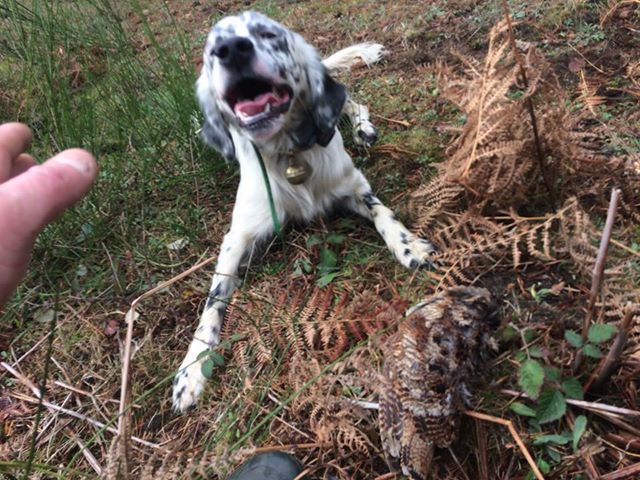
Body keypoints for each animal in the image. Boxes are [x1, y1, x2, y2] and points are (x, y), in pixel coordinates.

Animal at [172, 11, 438, 410]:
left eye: (268, 34)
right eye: (211, 47)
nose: (230, 48)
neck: (289, 154)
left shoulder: (354, 187)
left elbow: (383, 214)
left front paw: (410, 246)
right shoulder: (238, 237)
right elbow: (212, 302)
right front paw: (191, 369)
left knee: (351, 101)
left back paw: (363, 129)